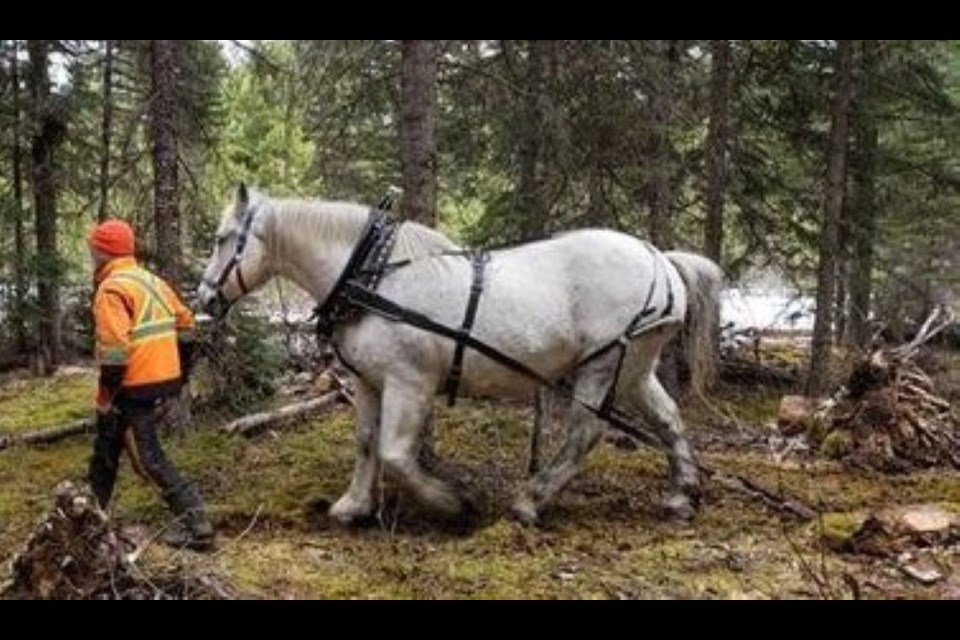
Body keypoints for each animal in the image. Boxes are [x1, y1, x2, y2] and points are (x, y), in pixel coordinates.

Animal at [201, 185, 720, 524]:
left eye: (223, 238)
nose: (204, 298)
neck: (373, 276)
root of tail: (659, 259)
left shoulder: (410, 382)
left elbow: (395, 454)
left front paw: (452, 503)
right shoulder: (368, 381)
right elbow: (367, 442)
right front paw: (354, 506)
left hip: (604, 364)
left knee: (583, 433)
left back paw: (529, 502)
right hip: (633, 369)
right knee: (668, 418)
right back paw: (682, 496)